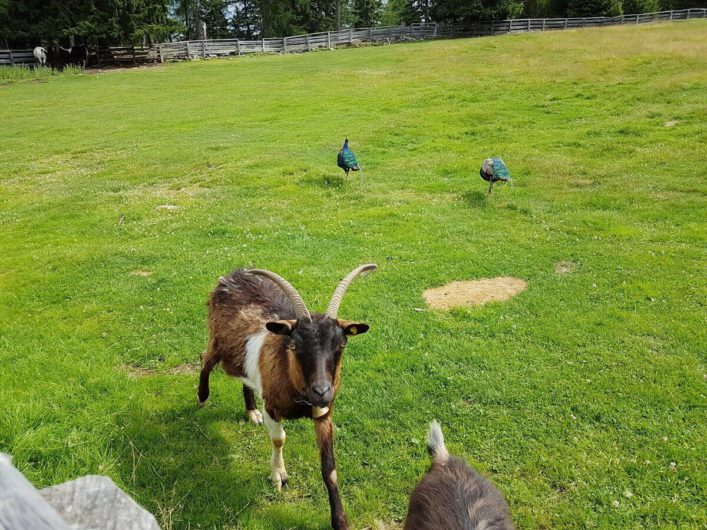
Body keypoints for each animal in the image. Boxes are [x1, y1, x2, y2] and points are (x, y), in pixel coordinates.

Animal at [196, 264, 378, 528]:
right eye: (293, 345)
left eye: (342, 344)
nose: (322, 391)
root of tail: (234, 273)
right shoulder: (272, 407)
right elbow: (279, 439)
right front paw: (278, 476)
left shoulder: (323, 413)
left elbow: (329, 468)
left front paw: (340, 521)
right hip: (217, 341)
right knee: (205, 359)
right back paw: (202, 397)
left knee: (243, 377)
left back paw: (251, 411)